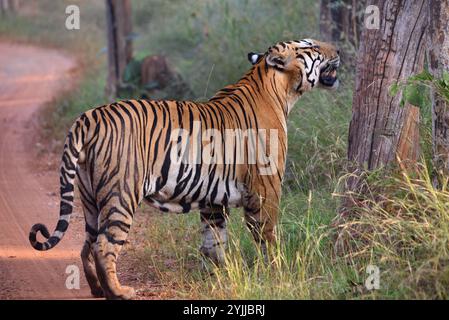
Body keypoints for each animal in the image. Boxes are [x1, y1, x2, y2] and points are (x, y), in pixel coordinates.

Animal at [28, 38, 340, 300]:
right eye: (312, 46)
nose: (338, 49)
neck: (278, 91)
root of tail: (89, 116)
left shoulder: (213, 200)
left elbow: (214, 242)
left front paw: (218, 277)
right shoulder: (266, 190)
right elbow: (267, 237)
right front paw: (276, 272)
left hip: (90, 197)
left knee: (86, 243)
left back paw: (97, 289)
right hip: (121, 193)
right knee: (103, 245)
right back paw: (119, 292)